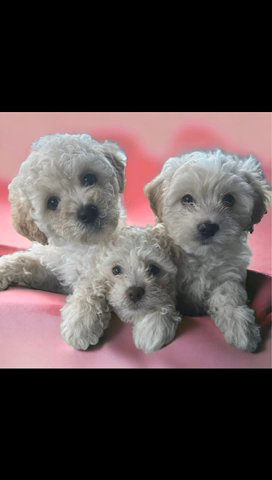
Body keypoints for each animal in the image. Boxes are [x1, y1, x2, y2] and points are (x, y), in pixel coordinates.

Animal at [60, 224, 183, 352]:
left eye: (153, 269)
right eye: (116, 270)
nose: (135, 293)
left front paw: (154, 327)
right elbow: (91, 286)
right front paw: (80, 324)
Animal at [144, 150, 270, 352]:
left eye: (229, 199)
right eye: (187, 199)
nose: (208, 227)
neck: (201, 257)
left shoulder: (229, 274)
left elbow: (229, 295)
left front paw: (241, 327)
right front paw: (154, 326)